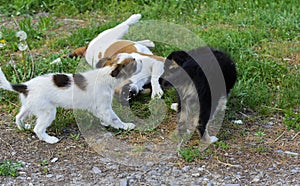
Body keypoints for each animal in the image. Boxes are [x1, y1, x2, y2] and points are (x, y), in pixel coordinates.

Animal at [0, 53, 142, 144]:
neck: (105, 75)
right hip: (48, 111)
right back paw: (50, 139)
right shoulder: (104, 107)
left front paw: (105, 123)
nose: (141, 60)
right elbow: (114, 118)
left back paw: (23, 127)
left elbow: (106, 117)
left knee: (18, 116)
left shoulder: (98, 108)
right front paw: (125, 126)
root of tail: (25, 86)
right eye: (134, 61)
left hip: (29, 106)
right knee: (38, 129)